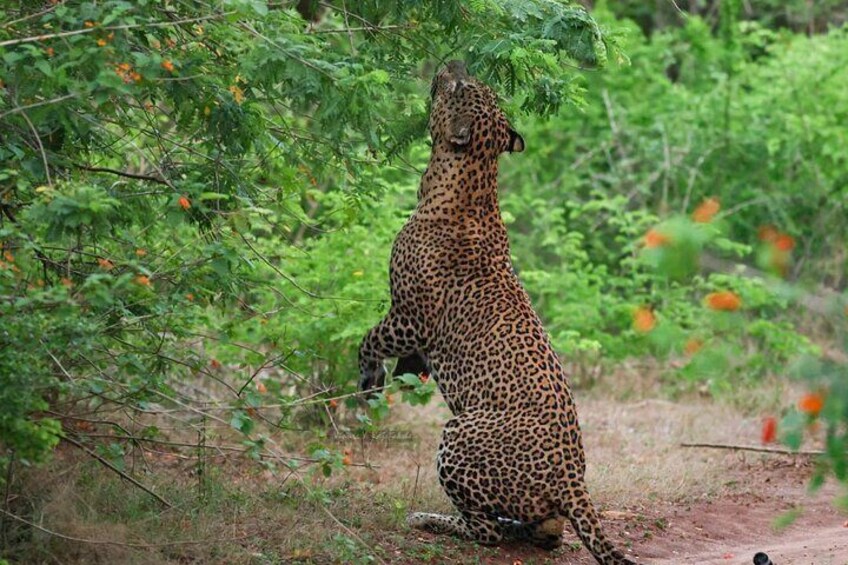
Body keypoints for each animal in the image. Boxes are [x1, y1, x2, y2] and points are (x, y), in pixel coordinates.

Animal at [358, 60, 636, 565]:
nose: (454, 63)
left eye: (463, 87)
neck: (472, 181)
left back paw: (431, 520)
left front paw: (369, 384)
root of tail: (575, 482)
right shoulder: (413, 328)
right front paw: (399, 375)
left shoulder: (410, 316)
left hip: (459, 431)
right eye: (478, 86)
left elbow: (368, 340)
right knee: (543, 531)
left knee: (485, 530)